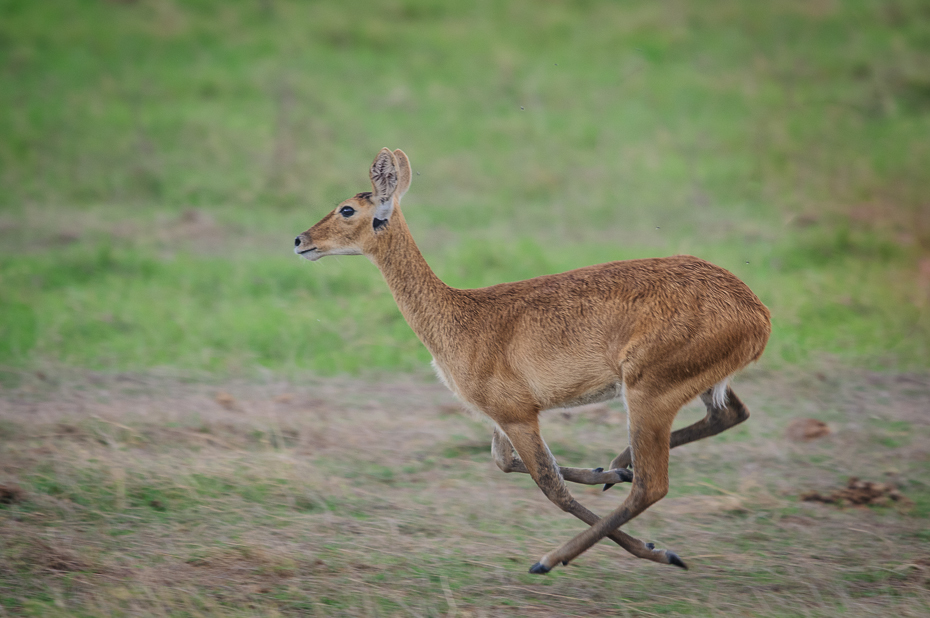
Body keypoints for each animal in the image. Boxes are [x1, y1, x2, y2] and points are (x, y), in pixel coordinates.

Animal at [296, 147, 768, 572]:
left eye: (347, 209)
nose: (300, 240)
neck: (461, 319)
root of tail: (757, 312)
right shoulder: (499, 417)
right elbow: (506, 462)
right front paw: (606, 473)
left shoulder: (518, 414)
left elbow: (549, 483)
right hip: (695, 385)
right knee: (730, 415)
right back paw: (620, 466)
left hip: (647, 391)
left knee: (652, 486)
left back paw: (569, 556)